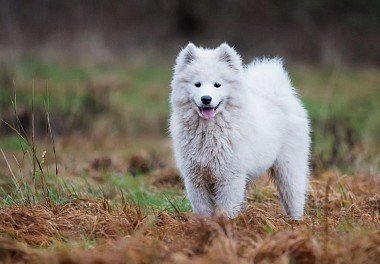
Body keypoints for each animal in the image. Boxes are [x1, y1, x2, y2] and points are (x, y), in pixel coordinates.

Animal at [168, 43, 308, 220]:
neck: (209, 131)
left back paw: (296, 221)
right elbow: (203, 209)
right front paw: (205, 224)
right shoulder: (195, 178)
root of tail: (277, 94)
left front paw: (225, 224)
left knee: (294, 196)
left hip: (289, 168)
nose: (206, 99)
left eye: (217, 84)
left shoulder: (229, 177)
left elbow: (227, 208)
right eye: (197, 84)